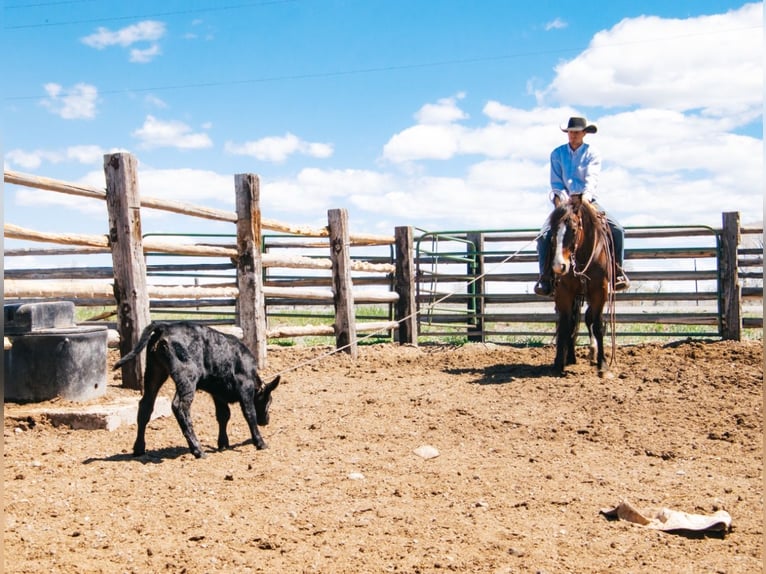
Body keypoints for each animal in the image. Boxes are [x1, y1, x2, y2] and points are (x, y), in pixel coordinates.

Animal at [114, 324, 282, 460]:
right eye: (269, 401)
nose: (266, 420)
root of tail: (165, 327)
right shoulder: (245, 388)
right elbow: (249, 414)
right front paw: (260, 442)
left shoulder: (218, 393)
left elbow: (223, 415)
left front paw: (223, 443)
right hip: (187, 377)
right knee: (179, 406)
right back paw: (197, 450)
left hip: (154, 372)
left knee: (146, 405)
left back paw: (139, 448)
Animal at [544, 196, 616, 380]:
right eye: (552, 231)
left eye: (574, 229)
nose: (559, 266)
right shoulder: (564, 292)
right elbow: (564, 325)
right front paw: (558, 364)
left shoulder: (600, 292)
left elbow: (597, 325)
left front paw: (603, 366)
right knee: (574, 322)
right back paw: (570, 357)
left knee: (588, 319)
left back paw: (593, 353)